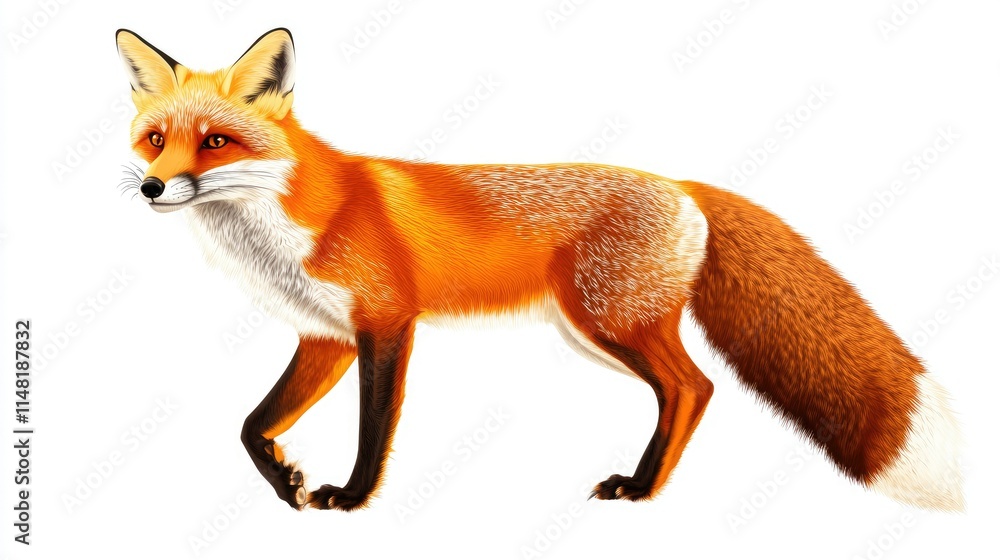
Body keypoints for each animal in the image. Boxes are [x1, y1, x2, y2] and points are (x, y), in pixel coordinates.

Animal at [116, 27, 963, 513]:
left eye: (216, 142)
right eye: (156, 139)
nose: (152, 187)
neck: (276, 226)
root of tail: (683, 185)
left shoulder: (387, 323)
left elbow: (372, 428)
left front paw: (352, 498)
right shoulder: (325, 337)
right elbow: (252, 425)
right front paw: (285, 481)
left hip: (609, 323)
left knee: (694, 387)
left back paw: (642, 489)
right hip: (593, 333)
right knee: (690, 391)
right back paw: (646, 485)